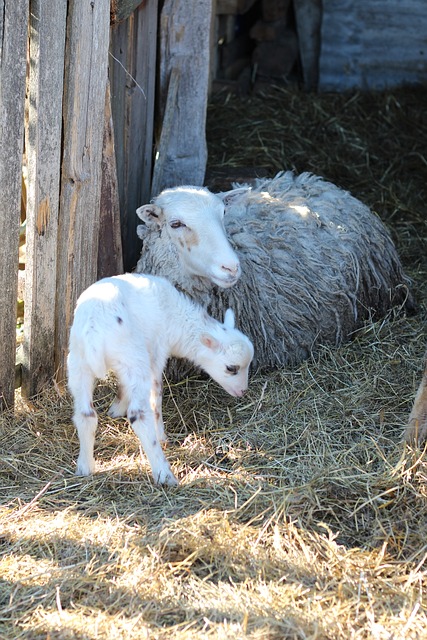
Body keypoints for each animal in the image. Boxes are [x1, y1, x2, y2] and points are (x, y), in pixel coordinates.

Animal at [67, 272, 254, 484]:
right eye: (231, 368)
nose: (242, 391)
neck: (176, 317)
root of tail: (94, 330)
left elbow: (123, 386)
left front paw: (116, 408)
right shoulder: (156, 352)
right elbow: (155, 397)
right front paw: (162, 435)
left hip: (78, 362)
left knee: (86, 415)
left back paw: (85, 467)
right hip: (134, 357)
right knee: (139, 416)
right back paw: (164, 474)